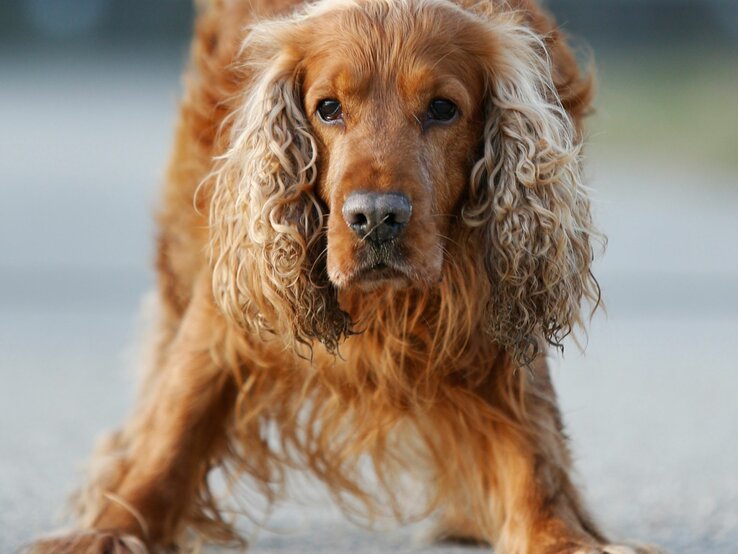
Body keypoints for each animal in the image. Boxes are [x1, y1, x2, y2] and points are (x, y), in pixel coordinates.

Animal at [31, 1, 660, 552]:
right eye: (328, 108)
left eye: (443, 108)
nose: (376, 217)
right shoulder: (223, 308)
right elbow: (175, 425)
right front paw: (110, 529)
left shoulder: (498, 306)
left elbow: (533, 449)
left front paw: (563, 537)